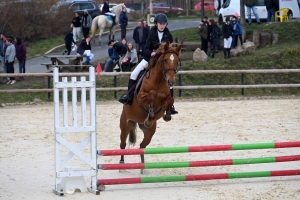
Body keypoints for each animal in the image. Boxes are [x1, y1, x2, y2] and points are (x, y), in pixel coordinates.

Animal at [119, 42, 180, 173]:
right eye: (165, 60)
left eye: (177, 61)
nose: (170, 81)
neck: (159, 80)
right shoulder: (141, 97)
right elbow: (150, 96)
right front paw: (150, 114)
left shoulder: (164, 100)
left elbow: (170, 100)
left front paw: (167, 115)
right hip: (125, 125)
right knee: (122, 144)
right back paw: (121, 164)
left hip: (149, 132)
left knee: (142, 146)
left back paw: (142, 167)